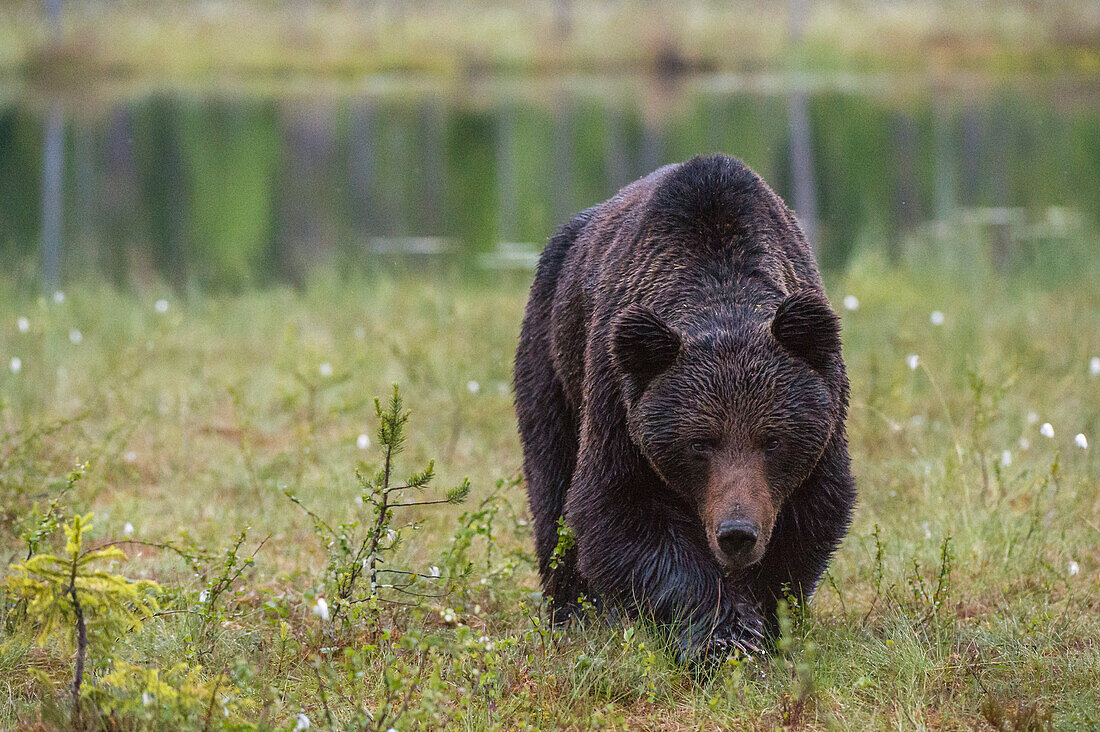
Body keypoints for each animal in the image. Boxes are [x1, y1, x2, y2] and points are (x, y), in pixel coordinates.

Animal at [510, 154, 853, 660]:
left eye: (772, 440)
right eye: (699, 443)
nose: (736, 532)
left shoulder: (822, 423)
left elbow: (810, 516)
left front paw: (763, 622)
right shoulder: (619, 402)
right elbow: (617, 511)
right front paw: (723, 635)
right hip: (552, 361)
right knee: (552, 486)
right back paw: (573, 613)